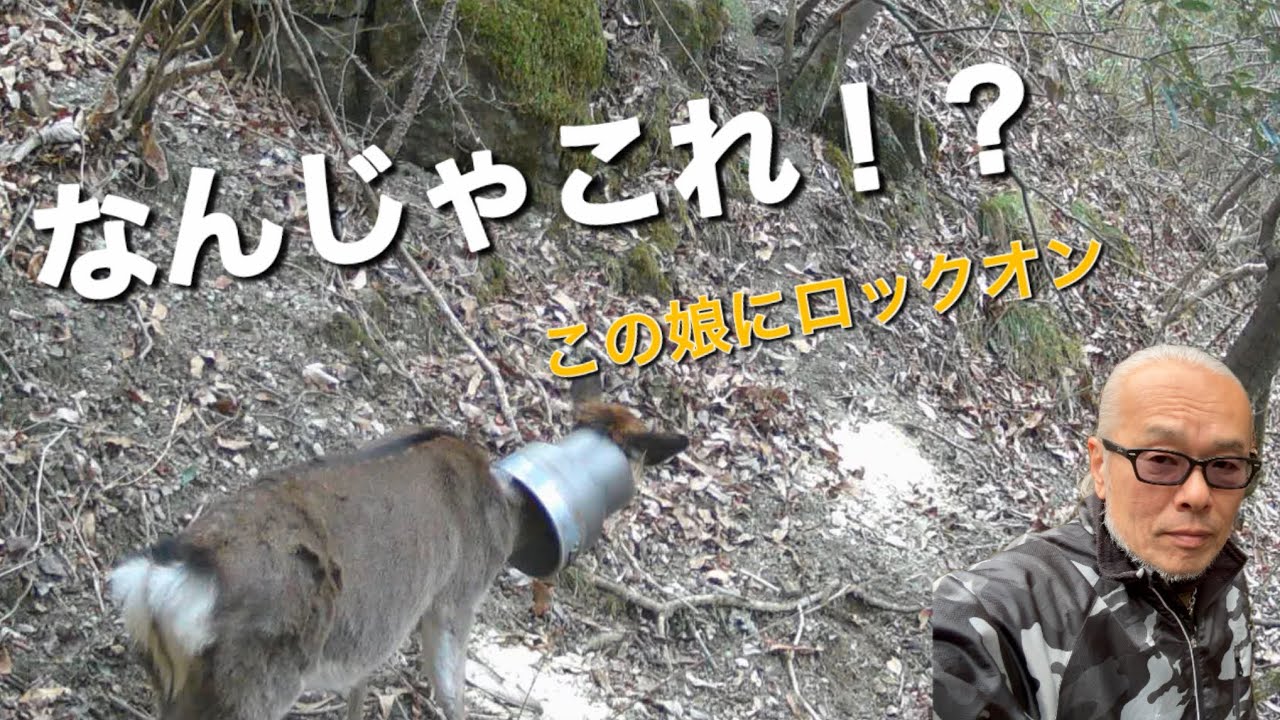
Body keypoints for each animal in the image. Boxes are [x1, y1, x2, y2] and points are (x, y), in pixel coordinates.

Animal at [107, 373, 688, 720]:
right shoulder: (456, 593)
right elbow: (451, 685)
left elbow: (361, 683)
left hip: (171, 678)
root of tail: (165, 581)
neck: (507, 514)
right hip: (253, 684)